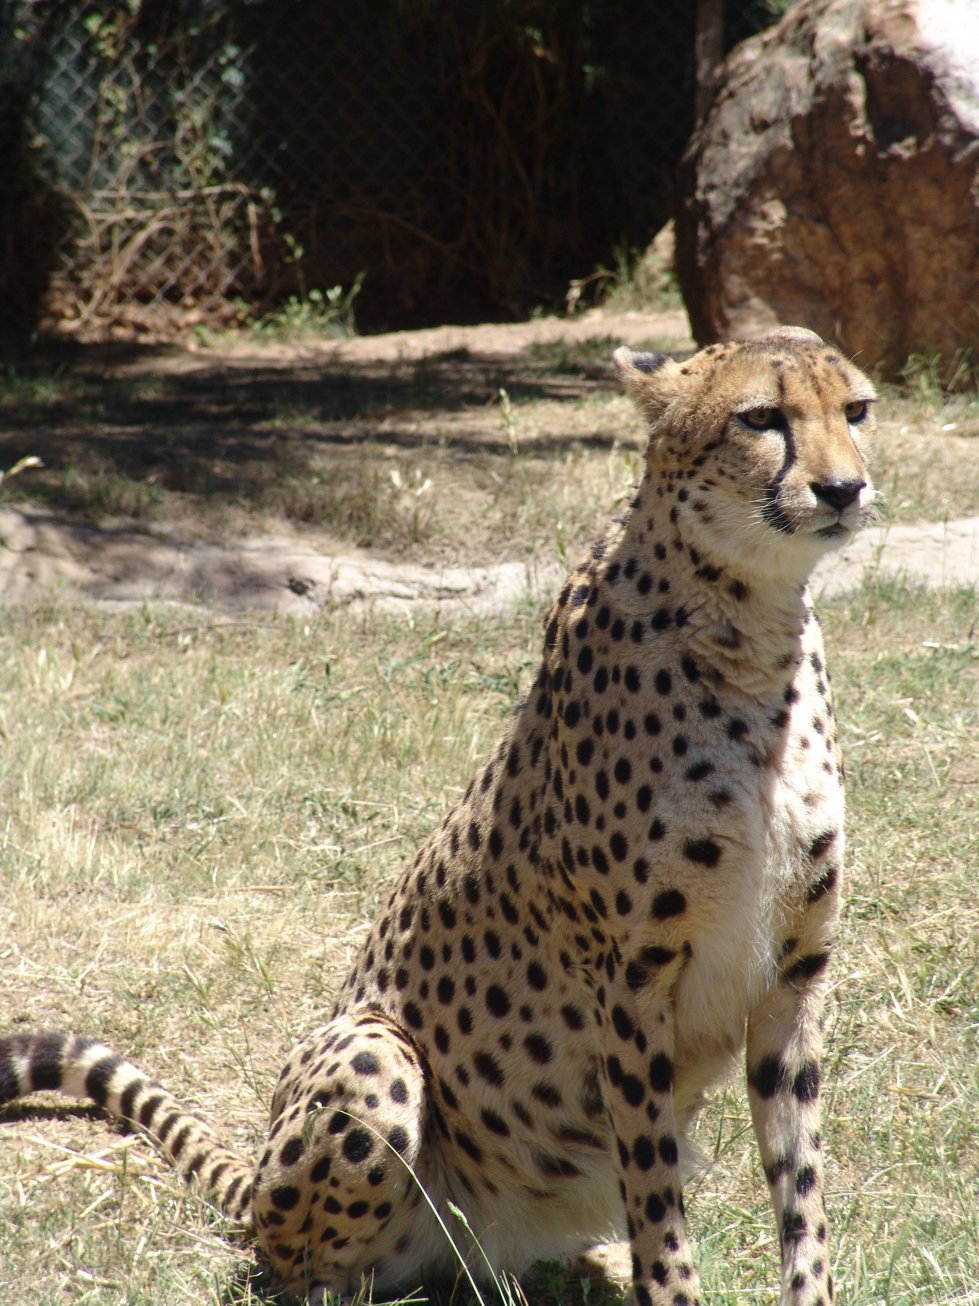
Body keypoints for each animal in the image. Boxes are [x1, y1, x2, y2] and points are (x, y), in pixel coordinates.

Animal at [0, 325, 878, 1306]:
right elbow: (658, 1200)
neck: (751, 629)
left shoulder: (792, 979)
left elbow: (801, 1195)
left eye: (855, 411)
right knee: (299, 1267)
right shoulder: (629, 985)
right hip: (372, 1057)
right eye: (760, 418)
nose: (843, 489)